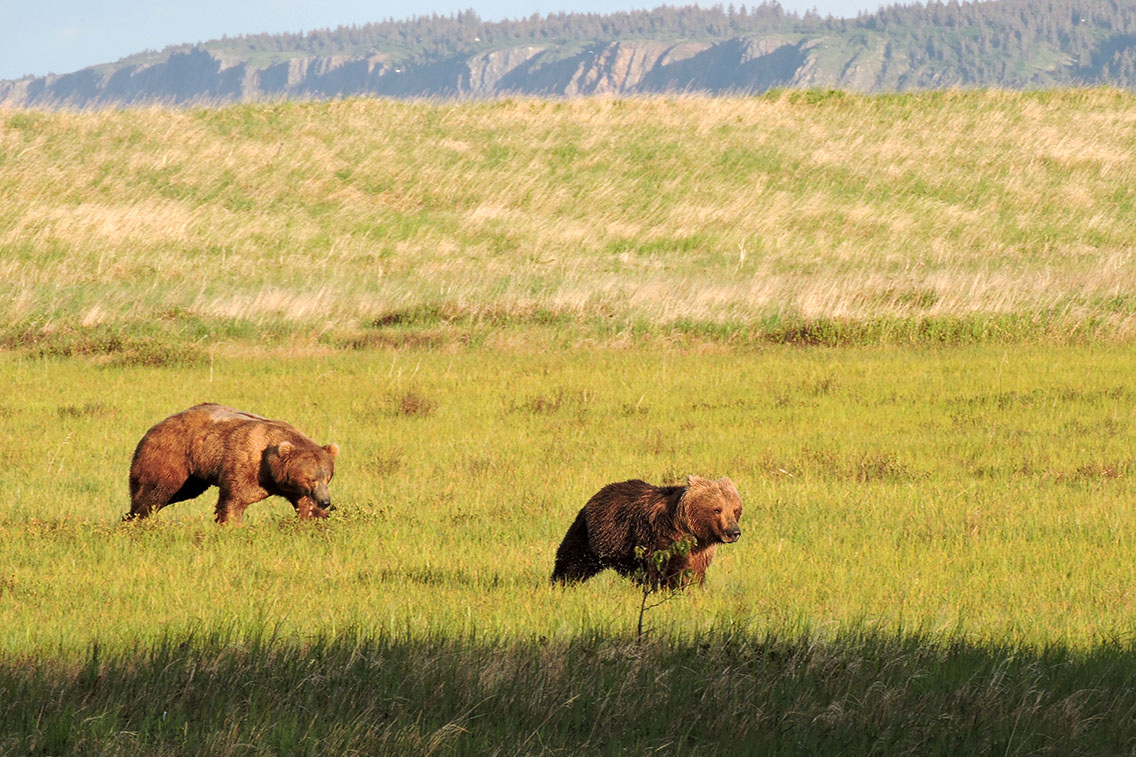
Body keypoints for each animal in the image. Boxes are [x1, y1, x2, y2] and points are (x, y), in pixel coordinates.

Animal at [125, 404, 336, 522]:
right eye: (311, 478)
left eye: (327, 477)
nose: (326, 501)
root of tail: (155, 426)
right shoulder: (246, 463)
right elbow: (235, 500)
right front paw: (230, 524)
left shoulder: (296, 490)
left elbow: (307, 509)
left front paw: (317, 520)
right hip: (171, 456)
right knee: (154, 492)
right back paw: (136, 518)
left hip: (193, 479)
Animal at [552, 475, 745, 586]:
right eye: (717, 509)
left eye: (735, 509)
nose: (734, 532)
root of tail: (598, 494)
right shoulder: (663, 537)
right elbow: (668, 570)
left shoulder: (701, 550)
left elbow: (696, 572)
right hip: (594, 535)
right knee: (574, 559)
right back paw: (562, 581)